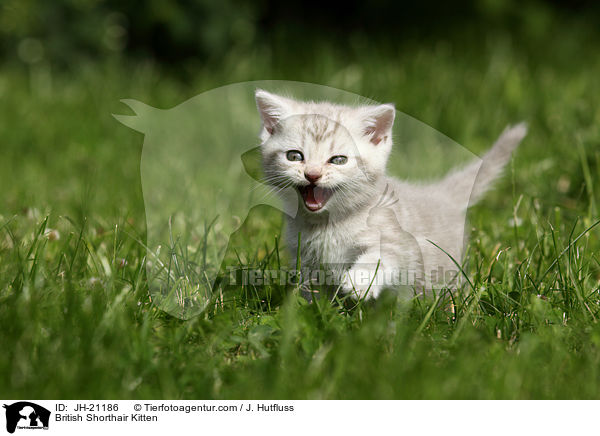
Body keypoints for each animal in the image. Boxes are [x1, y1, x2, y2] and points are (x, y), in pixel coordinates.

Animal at [253, 89, 524, 300]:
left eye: (338, 160)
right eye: (294, 156)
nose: (312, 174)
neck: (328, 225)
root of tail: (438, 194)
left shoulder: (400, 242)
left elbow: (382, 257)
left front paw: (359, 282)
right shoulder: (305, 260)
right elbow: (313, 292)